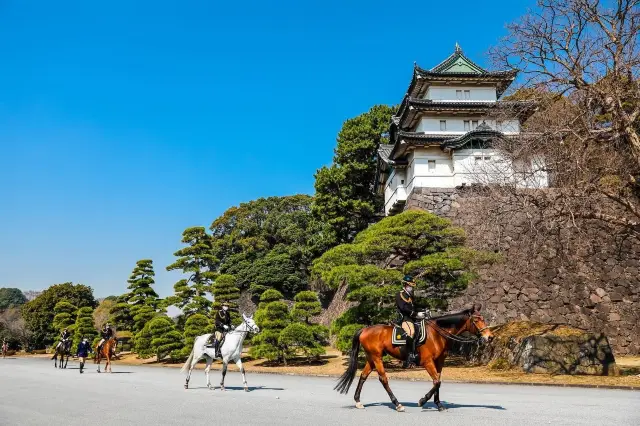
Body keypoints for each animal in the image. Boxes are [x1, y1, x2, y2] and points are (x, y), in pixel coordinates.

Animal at [338, 304, 492, 412]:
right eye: (476, 319)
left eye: (483, 318)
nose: (489, 337)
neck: (437, 334)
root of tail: (365, 329)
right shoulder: (427, 362)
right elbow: (437, 381)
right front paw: (422, 401)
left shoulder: (439, 361)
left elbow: (438, 381)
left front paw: (438, 404)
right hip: (377, 358)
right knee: (383, 379)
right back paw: (397, 404)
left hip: (372, 358)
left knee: (363, 376)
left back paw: (358, 401)